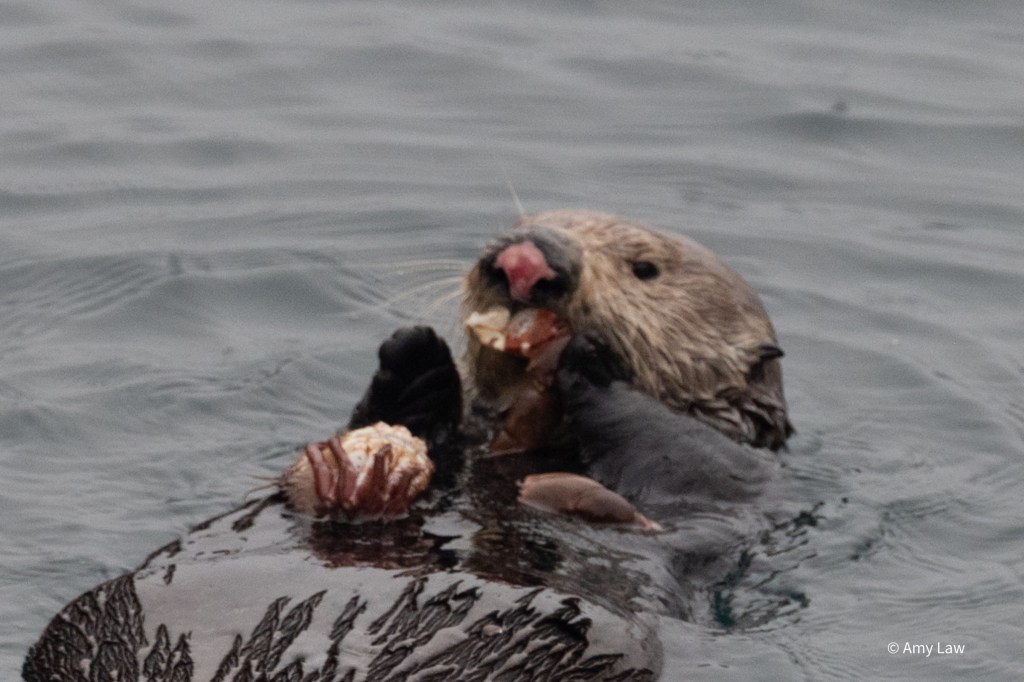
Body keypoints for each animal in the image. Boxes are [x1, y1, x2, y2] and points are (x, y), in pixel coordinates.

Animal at [24, 210, 792, 682]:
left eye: (645, 268)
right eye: (524, 224)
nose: (528, 257)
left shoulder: (731, 476)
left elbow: (680, 452)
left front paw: (589, 358)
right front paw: (414, 357)